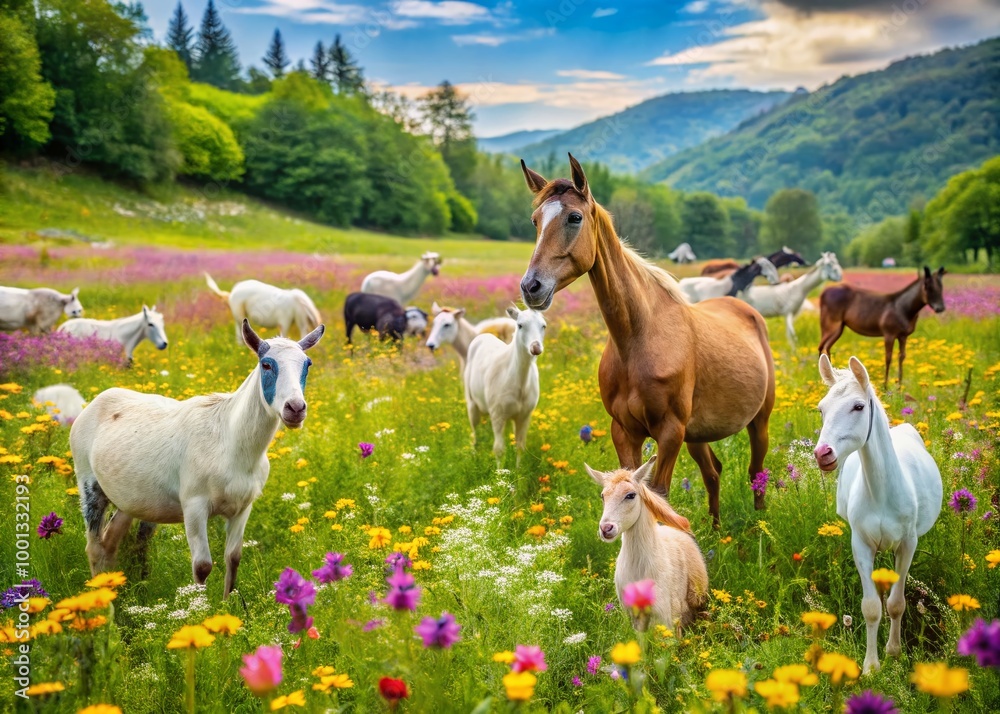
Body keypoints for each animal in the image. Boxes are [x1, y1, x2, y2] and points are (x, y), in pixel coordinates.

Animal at [69, 319, 325, 597]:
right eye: (266, 364)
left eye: (308, 364)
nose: (295, 409)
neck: (229, 441)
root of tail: (94, 403)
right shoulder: (193, 505)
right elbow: (202, 566)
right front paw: (200, 608)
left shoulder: (243, 506)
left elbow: (233, 559)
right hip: (88, 482)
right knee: (94, 547)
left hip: (132, 498)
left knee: (111, 542)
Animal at [464, 306, 545, 465]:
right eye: (520, 325)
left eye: (543, 326)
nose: (536, 348)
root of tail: (484, 335)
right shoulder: (497, 413)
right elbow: (499, 449)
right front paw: (500, 471)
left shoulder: (525, 414)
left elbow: (520, 447)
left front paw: (518, 470)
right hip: (472, 401)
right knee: (474, 432)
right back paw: (474, 455)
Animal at [518, 154, 775, 526]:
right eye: (535, 220)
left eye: (574, 217)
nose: (531, 287)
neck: (638, 340)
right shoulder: (625, 431)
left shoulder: (669, 433)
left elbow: (659, 496)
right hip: (696, 435)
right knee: (713, 473)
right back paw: (716, 529)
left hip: (758, 421)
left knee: (757, 472)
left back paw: (759, 525)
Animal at [814, 354, 941, 673]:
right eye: (821, 409)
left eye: (859, 406)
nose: (822, 454)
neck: (883, 492)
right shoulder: (860, 543)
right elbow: (871, 607)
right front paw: (871, 667)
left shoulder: (908, 544)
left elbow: (896, 604)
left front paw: (894, 653)